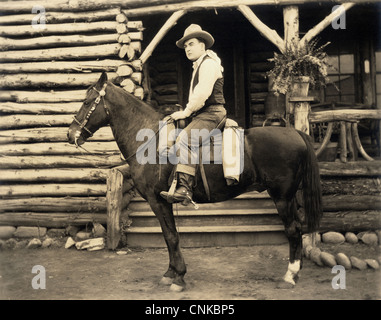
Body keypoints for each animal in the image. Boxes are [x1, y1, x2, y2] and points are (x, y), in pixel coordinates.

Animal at [66, 72, 320, 292]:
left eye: (87, 102)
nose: (71, 134)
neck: (150, 141)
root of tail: (296, 133)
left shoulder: (158, 200)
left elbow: (171, 236)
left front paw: (178, 276)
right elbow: (170, 236)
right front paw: (170, 273)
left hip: (282, 197)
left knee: (293, 230)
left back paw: (290, 275)